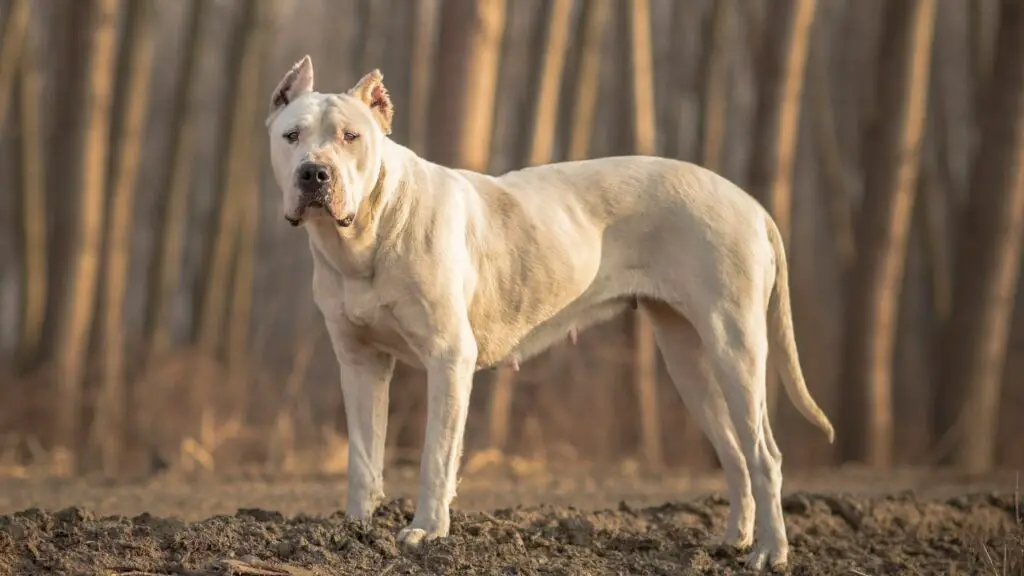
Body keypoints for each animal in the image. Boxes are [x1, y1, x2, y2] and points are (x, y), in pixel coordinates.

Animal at [264, 56, 831, 565]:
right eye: (292, 136)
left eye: (351, 137)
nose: (314, 173)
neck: (367, 234)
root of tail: (749, 204)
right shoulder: (360, 362)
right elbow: (363, 457)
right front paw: (352, 532)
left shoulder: (449, 359)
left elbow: (435, 456)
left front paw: (426, 531)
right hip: (687, 358)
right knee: (735, 453)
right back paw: (733, 541)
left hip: (735, 346)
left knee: (764, 455)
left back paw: (770, 552)